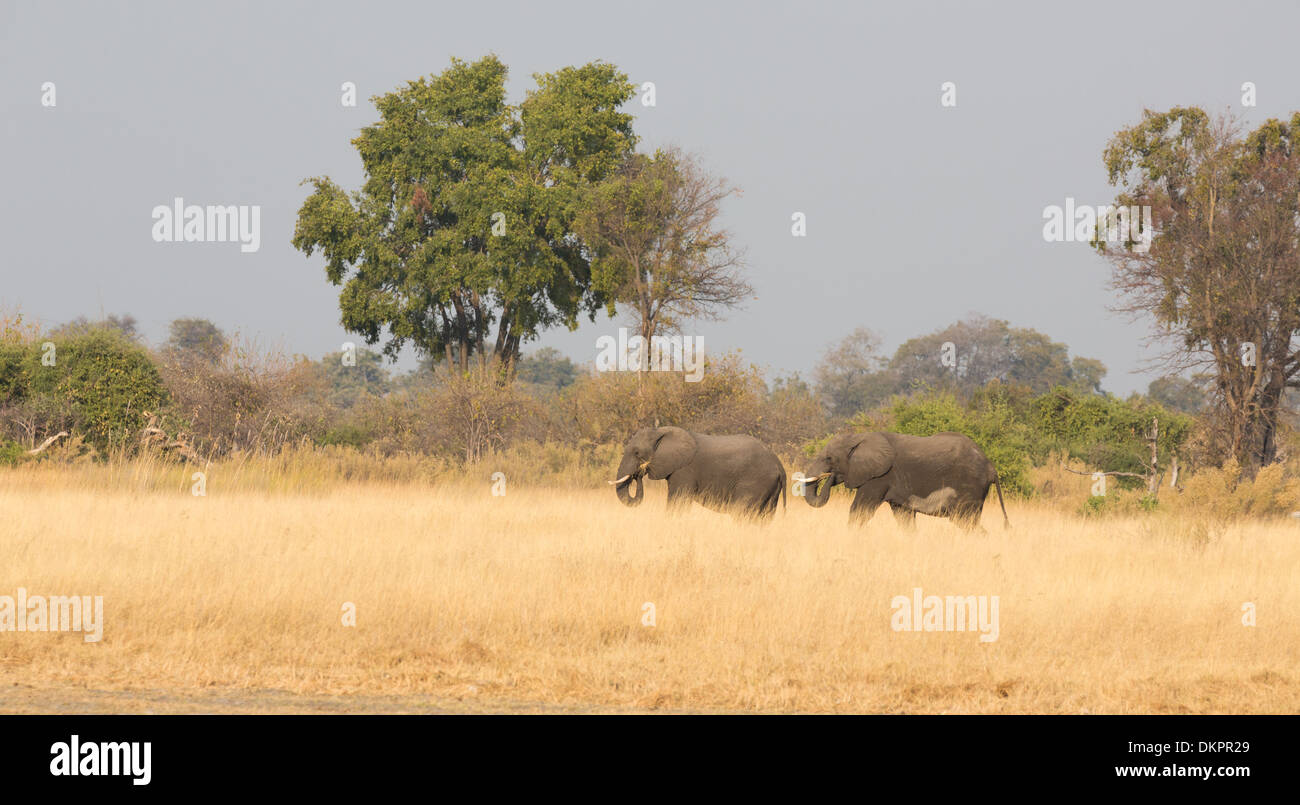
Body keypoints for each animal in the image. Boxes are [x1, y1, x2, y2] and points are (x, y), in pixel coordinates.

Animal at [605, 423, 780, 520]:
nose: (639, 473)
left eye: (637, 453)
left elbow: (678, 500)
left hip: (756, 482)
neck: (660, 432)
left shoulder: (684, 470)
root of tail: (779, 465)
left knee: (741, 512)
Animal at [795, 431, 1008, 533]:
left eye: (829, 458)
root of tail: (991, 467)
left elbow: (860, 510)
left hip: (969, 488)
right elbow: (904, 518)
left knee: (965, 521)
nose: (829, 476)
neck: (858, 438)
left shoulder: (879, 477)